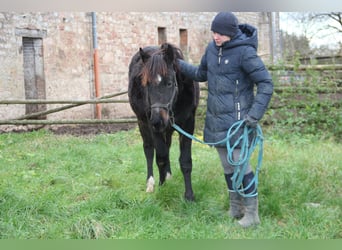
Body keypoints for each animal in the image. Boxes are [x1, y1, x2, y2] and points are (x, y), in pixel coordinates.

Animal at [127, 43, 198, 201]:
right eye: (146, 84)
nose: (157, 120)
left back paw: (169, 175)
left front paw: (189, 195)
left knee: (168, 146)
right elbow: (160, 157)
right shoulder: (152, 127)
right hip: (143, 123)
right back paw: (151, 183)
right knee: (149, 150)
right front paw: (162, 187)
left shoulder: (188, 124)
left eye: (169, 83)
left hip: (167, 128)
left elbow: (185, 161)